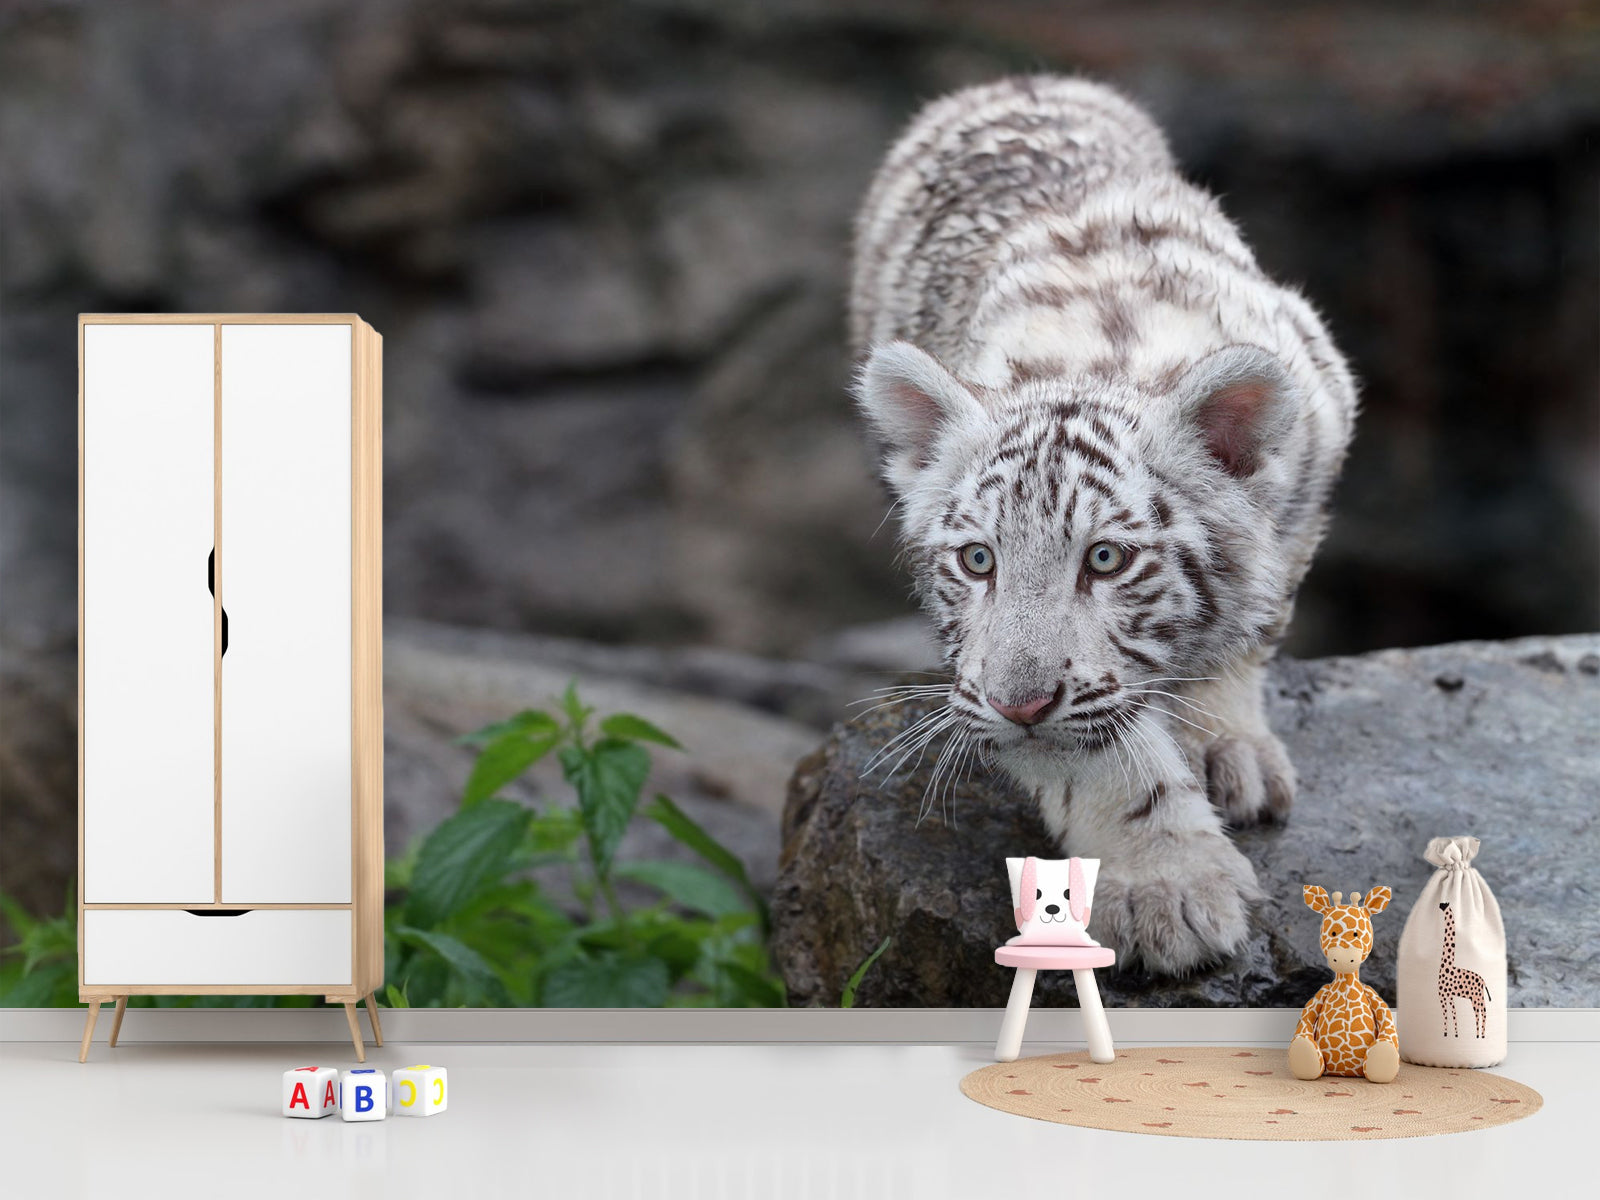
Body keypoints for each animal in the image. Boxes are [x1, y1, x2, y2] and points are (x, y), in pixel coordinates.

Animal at [848, 76, 1357, 973]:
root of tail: (1022, 78)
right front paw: (1169, 890)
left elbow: (1250, 626)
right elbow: (1096, 748)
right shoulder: (985, 667)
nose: (1017, 704)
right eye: (978, 560)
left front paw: (1229, 750)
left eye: (1108, 559)